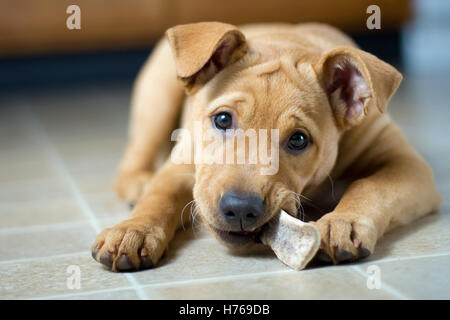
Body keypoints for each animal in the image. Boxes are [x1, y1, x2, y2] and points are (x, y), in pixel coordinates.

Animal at [89, 21, 442, 272]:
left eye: (298, 139)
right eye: (222, 119)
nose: (240, 210)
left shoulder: (407, 164)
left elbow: (370, 186)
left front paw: (342, 223)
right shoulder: (182, 162)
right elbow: (159, 197)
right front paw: (133, 231)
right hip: (158, 98)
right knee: (136, 157)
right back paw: (138, 185)